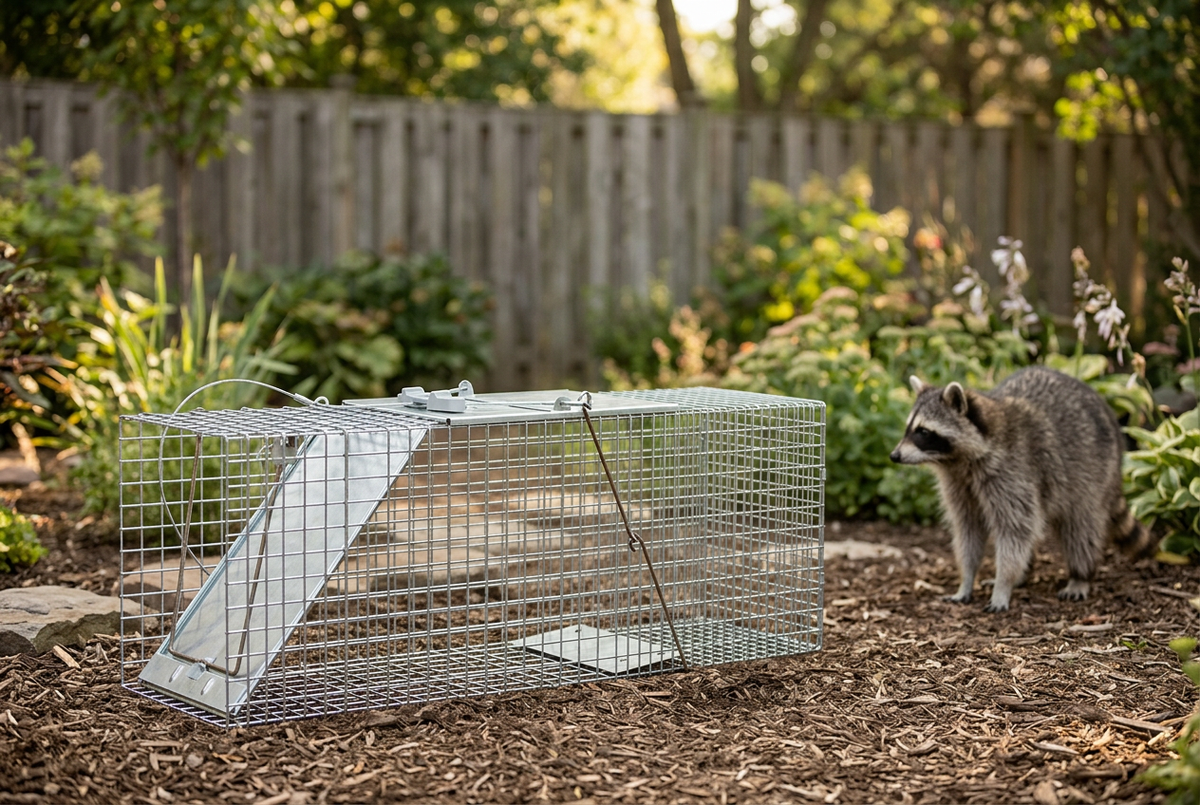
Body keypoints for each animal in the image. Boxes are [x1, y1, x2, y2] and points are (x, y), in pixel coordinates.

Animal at [890, 366, 1151, 612]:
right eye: (908, 428)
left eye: (923, 432)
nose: (894, 456)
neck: (957, 461)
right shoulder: (958, 484)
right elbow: (968, 530)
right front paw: (967, 580)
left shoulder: (1013, 471)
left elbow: (1014, 530)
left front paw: (1003, 584)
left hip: (1093, 474)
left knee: (1081, 526)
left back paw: (1080, 575)